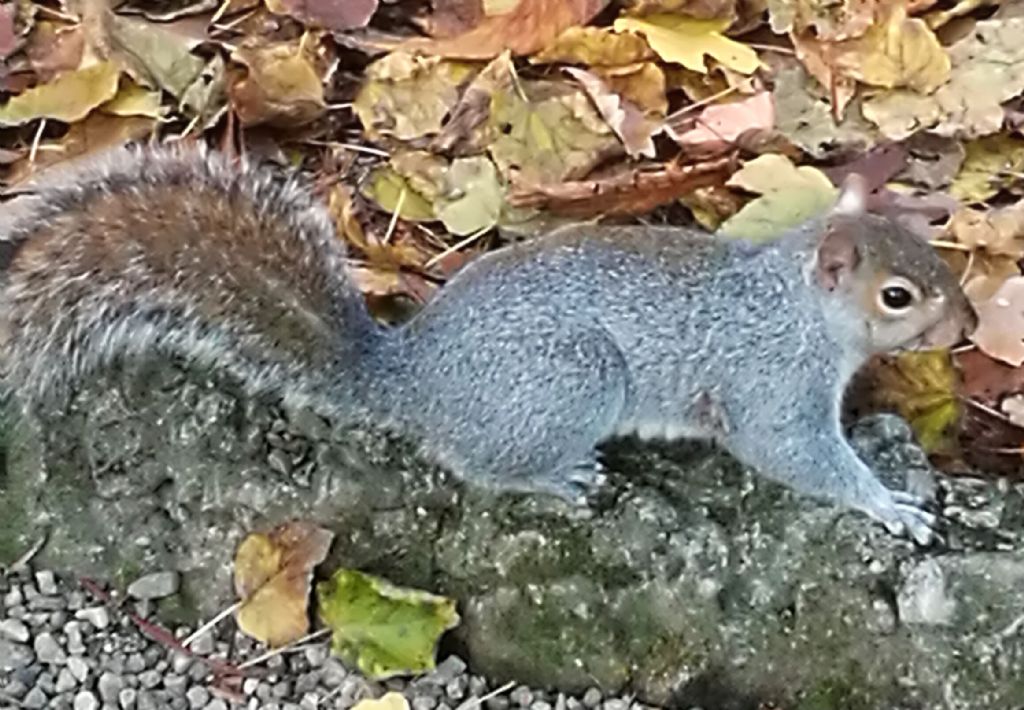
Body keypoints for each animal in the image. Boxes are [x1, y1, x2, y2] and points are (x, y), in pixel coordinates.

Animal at [0, 144, 974, 540]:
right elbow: (794, 455)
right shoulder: (769, 382)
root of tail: (412, 378)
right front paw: (888, 504)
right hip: (572, 381)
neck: (794, 303)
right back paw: (556, 477)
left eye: (932, 252)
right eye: (897, 296)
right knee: (476, 465)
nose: (965, 326)